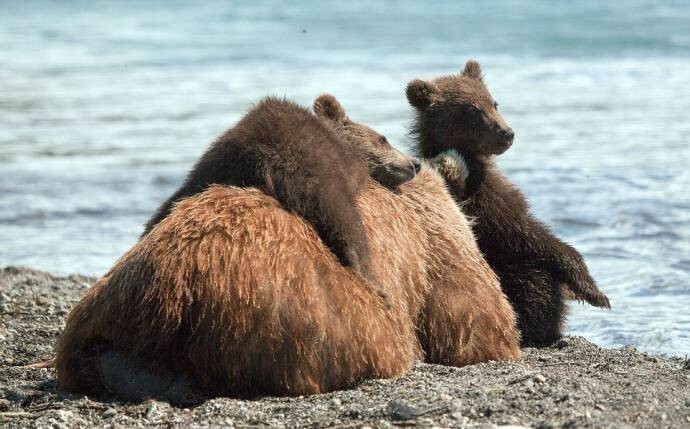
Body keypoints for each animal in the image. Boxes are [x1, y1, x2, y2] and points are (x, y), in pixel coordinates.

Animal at [142, 97, 416, 290]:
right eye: (383, 138)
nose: (414, 164)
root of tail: (262, 156)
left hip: (210, 170)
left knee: (168, 204)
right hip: (314, 171)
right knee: (343, 217)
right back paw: (372, 281)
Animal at [406, 58, 612, 342]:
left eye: (494, 103)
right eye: (471, 110)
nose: (507, 133)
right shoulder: (492, 210)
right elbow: (536, 237)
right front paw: (594, 292)